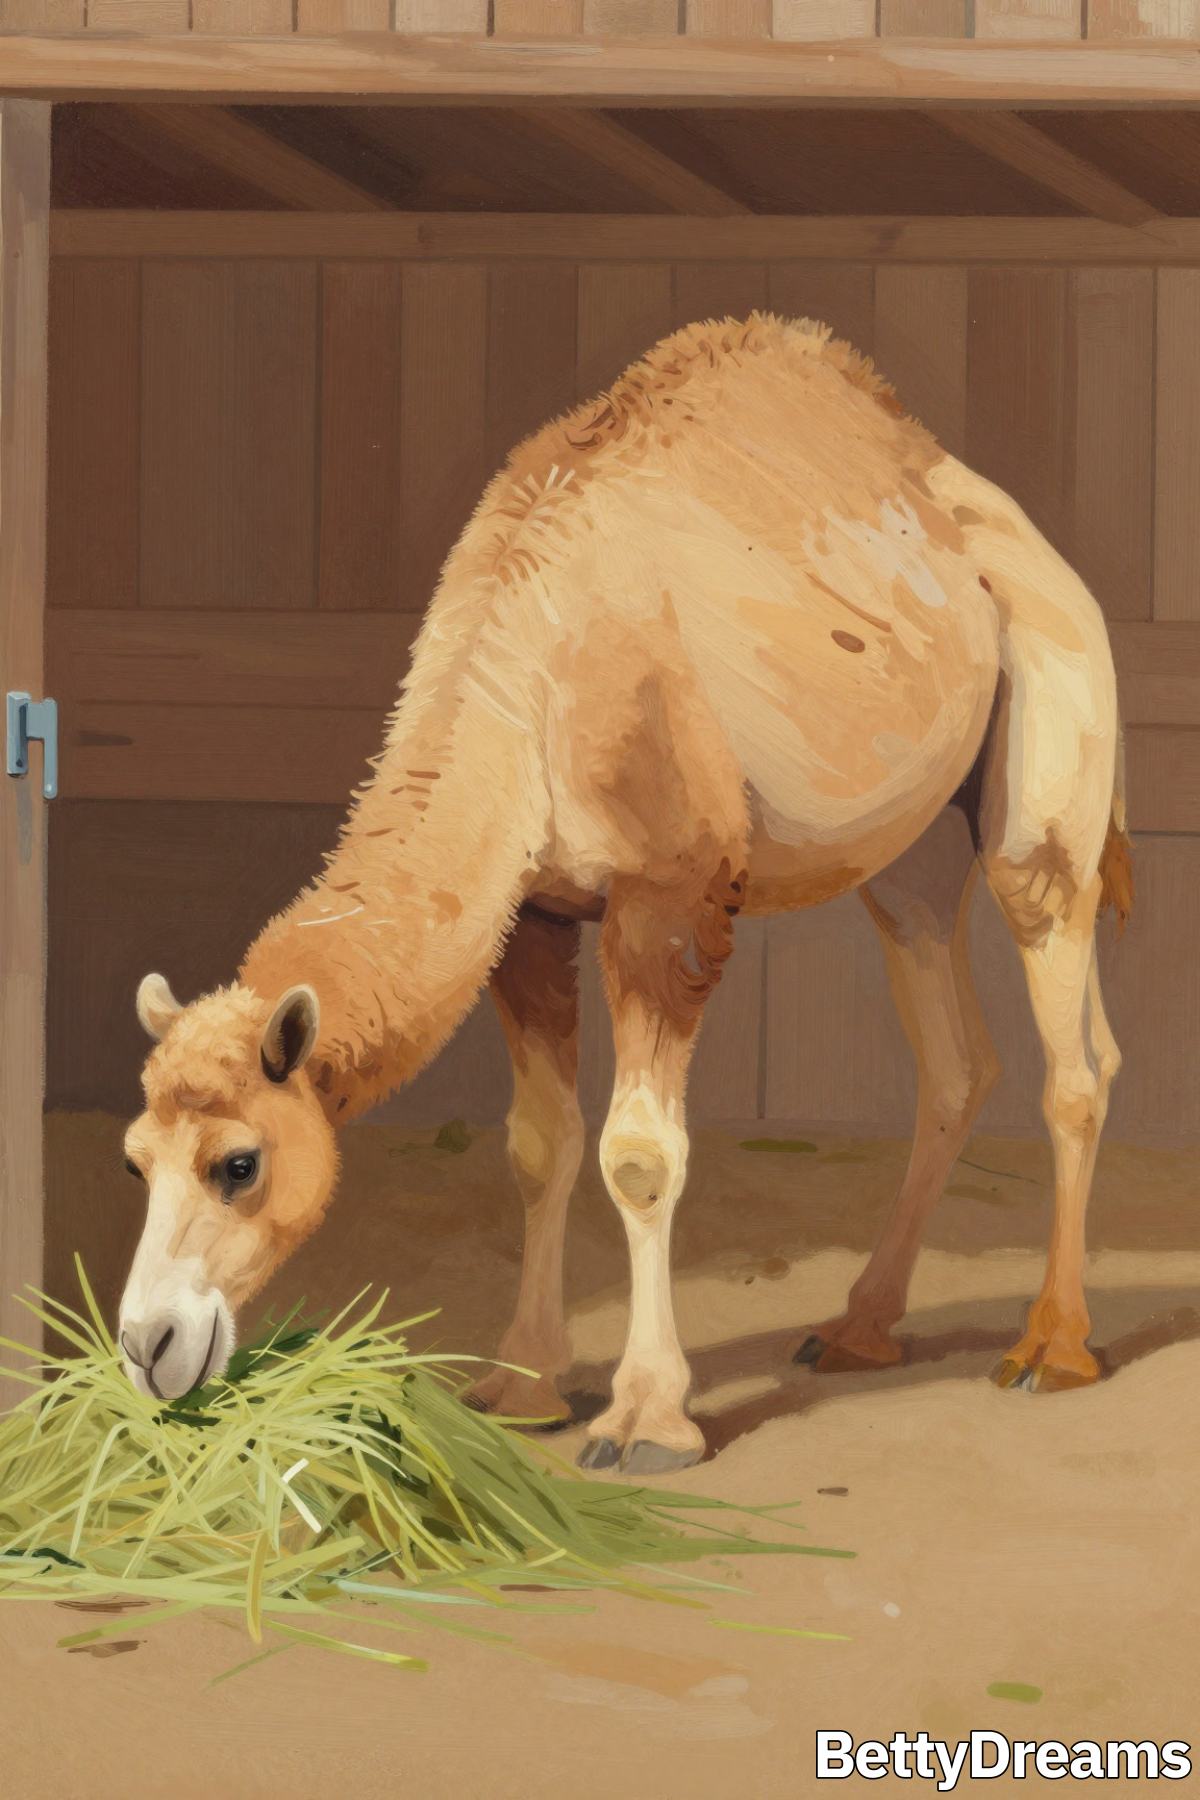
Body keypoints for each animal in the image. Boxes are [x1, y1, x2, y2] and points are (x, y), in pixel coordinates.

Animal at [119, 312, 1130, 1474]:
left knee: (1067, 1028)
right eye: (135, 1161)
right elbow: (539, 1144)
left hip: (1051, 747)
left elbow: (639, 1156)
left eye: (239, 1163)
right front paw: (521, 1389)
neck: (521, 675)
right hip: (907, 853)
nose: (147, 1346)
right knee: (957, 1052)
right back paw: (860, 1328)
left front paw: (648, 1421)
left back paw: (1054, 1347)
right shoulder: (531, 913)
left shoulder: (669, 898)